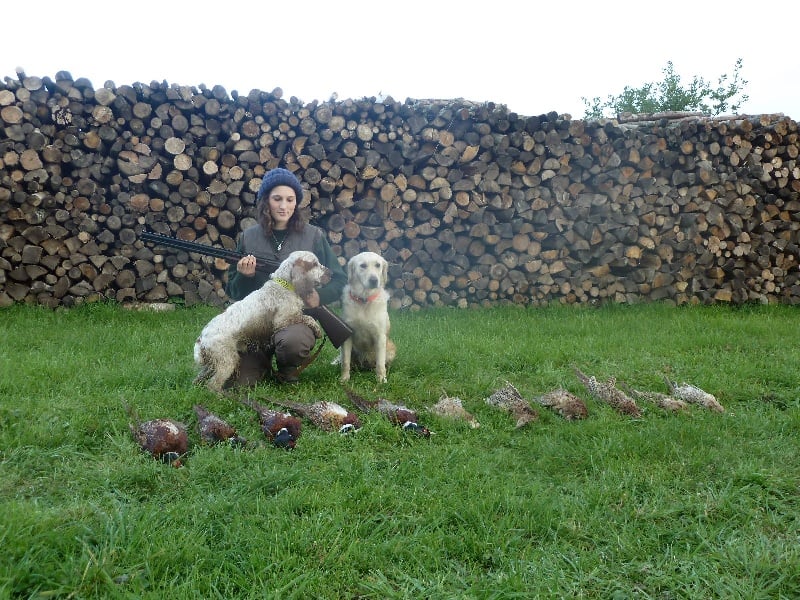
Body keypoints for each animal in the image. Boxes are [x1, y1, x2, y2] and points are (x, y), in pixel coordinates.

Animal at [194, 251, 331, 392]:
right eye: (314, 264)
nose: (331, 273)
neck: (285, 285)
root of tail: (201, 339)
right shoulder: (283, 320)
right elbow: (307, 318)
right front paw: (318, 330)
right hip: (227, 360)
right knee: (212, 385)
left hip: (212, 363)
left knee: (199, 379)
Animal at [339, 251, 396, 383]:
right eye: (363, 265)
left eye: (378, 265)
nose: (374, 280)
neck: (364, 300)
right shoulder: (347, 335)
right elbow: (345, 362)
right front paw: (344, 379)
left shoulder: (380, 337)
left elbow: (380, 364)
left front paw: (381, 380)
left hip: (390, 349)